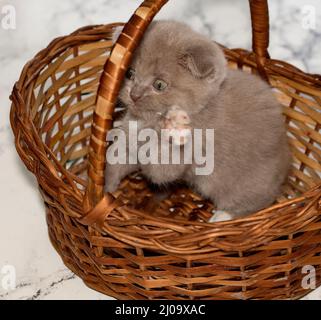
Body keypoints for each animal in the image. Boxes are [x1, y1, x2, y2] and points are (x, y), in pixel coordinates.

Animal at [104, 20, 290, 220]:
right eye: (130, 73)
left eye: (159, 85)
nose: (134, 94)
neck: (145, 122)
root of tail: (286, 161)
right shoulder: (128, 143)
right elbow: (115, 160)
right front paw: (104, 189)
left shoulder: (186, 154)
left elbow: (162, 167)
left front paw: (174, 130)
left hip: (246, 183)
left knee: (258, 200)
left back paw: (221, 216)